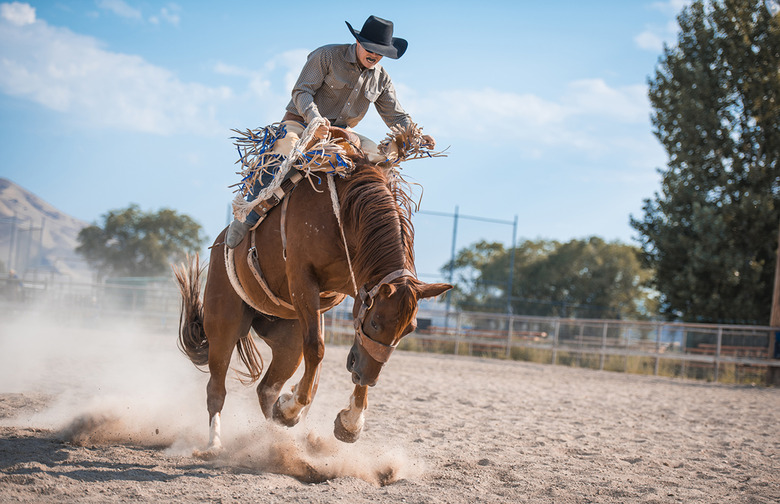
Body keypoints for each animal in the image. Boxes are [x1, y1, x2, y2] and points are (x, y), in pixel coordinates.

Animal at [174, 136, 451, 453]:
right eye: (376, 322)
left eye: (410, 330)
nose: (367, 377)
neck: (344, 214)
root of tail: (220, 244)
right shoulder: (303, 281)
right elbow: (317, 348)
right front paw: (296, 408)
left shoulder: (358, 286)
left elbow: (357, 351)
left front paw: (350, 422)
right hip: (224, 325)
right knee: (217, 388)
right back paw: (215, 443)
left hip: (287, 341)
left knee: (267, 389)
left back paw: (278, 436)